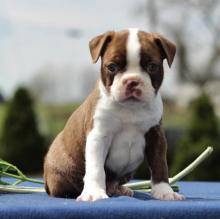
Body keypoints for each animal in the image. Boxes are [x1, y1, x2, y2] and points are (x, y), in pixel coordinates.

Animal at [43, 28, 184, 201]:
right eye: (112, 66)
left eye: (152, 66)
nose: (132, 81)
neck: (130, 109)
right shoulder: (99, 136)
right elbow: (96, 168)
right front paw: (94, 193)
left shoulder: (155, 135)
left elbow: (160, 165)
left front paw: (165, 192)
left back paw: (118, 189)